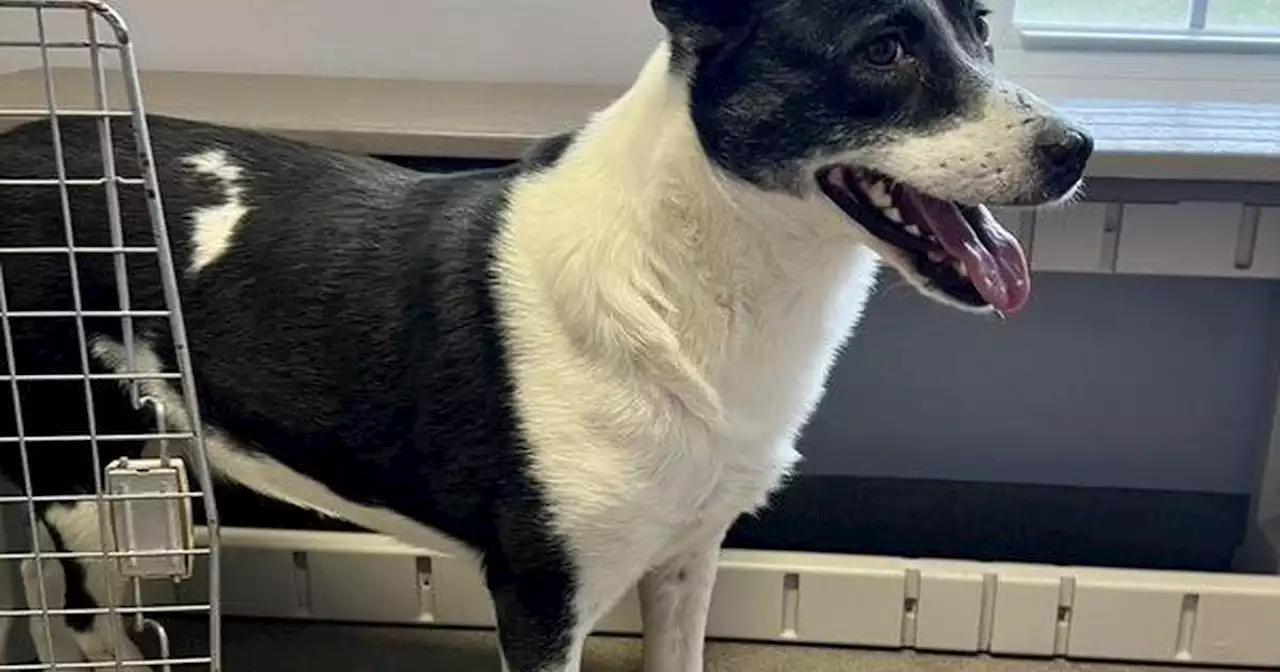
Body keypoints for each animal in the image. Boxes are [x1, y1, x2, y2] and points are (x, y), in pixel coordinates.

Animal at [0, 0, 1090, 665]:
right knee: (86, 624)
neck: (695, 271)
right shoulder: (540, 599)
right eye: (881, 49)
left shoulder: (685, 561)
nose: (1077, 148)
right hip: (83, 475)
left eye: (979, 31)